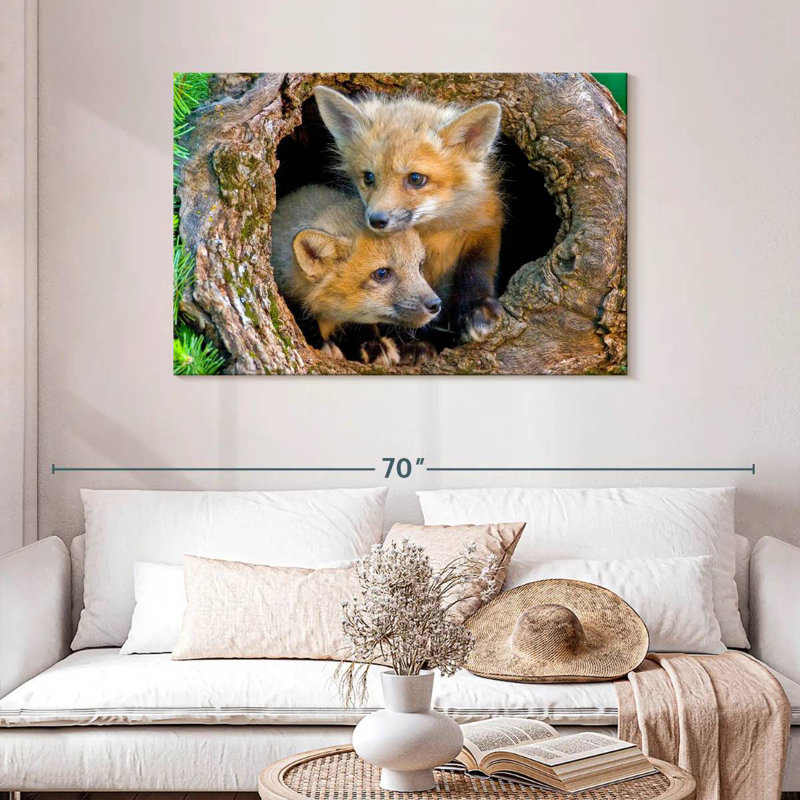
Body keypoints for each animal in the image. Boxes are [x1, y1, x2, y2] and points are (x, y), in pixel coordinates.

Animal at [314, 86, 505, 345]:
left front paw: (477, 309)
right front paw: (415, 346)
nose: (376, 220)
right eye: (368, 177)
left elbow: (477, 270)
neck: (434, 233)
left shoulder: (483, 224)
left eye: (415, 179)